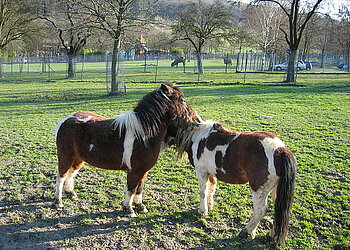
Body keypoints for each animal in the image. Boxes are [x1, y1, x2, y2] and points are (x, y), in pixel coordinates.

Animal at [56, 82, 201, 217]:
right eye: (182, 100)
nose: (198, 120)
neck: (143, 135)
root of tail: (66, 120)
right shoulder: (134, 171)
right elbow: (131, 189)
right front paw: (129, 209)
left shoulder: (143, 171)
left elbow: (139, 189)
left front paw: (140, 207)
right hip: (66, 156)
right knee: (61, 176)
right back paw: (58, 202)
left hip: (78, 158)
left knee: (71, 174)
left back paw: (71, 193)